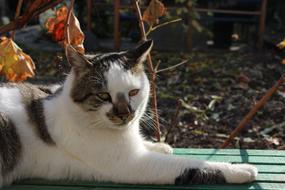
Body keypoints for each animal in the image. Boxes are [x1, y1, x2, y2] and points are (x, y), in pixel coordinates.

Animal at [0, 39, 256, 186]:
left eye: (134, 92)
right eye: (104, 96)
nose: (126, 114)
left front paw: (159, 145)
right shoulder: (132, 164)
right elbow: (192, 164)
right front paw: (240, 169)